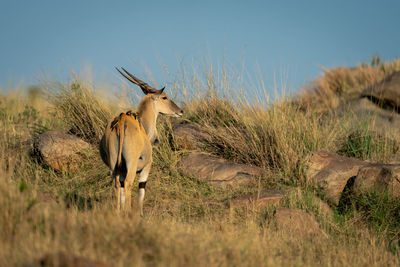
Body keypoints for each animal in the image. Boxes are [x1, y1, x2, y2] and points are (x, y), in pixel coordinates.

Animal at [99, 68, 183, 217]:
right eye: (164, 97)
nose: (180, 111)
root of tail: (121, 122)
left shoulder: (120, 170)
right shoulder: (146, 167)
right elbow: (141, 189)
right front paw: (139, 214)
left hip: (113, 164)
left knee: (117, 184)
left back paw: (118, 212)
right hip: (131, 165)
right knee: (128, 183)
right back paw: (127, 212)